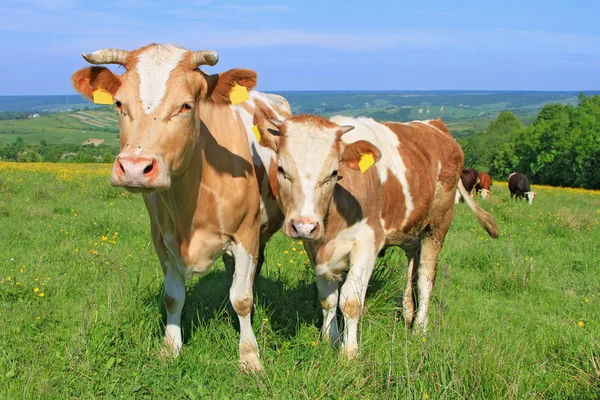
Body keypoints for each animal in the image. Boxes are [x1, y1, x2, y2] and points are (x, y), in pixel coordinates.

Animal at [70, 43, 290, 372]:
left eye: (185, 106)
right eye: (119, 103)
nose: (134, 168)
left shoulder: (245, 235)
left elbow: (242, 298)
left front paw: (250, 357)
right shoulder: (162, 240)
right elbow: (173, 297)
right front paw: (169, 348)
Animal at [255, 114, 500, 358]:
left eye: (333, 173)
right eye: (281, 169)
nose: (304, 226)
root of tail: (436, 124)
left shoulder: (367, 242)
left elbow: (350, 300)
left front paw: (349, 353)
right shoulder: (315, 247)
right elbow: (328, 298)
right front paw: (329, 340)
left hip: (438, 224)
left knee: (425, 277)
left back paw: (420, 328)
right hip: (411, 229)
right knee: (413, 265)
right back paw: (408, 314)